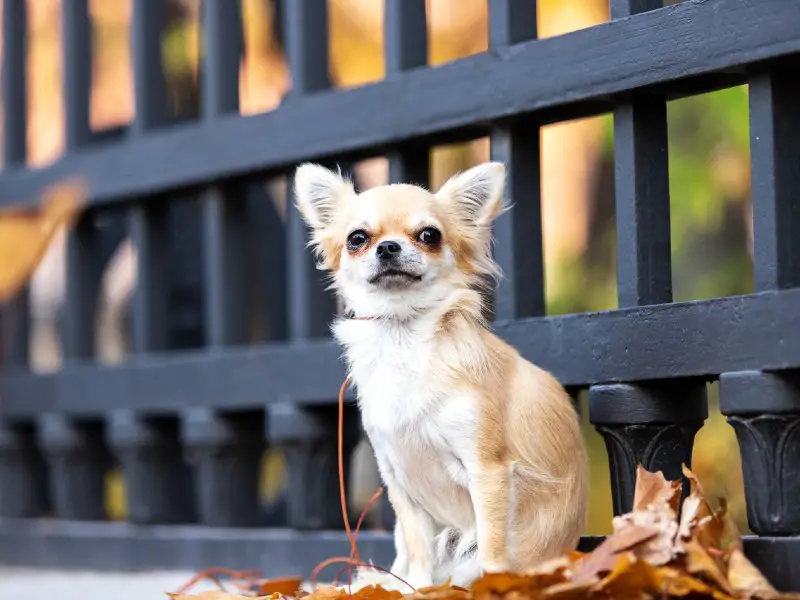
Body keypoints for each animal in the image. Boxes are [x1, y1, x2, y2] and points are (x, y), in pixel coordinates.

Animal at [292, 162, 588, 592]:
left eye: (429, 235)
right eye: (357, 239)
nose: (388, 247)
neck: (402, 337)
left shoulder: (488, 470)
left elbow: (493, 546)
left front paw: (494, 586)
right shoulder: (399, 480)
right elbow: (418, 546)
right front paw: (416, 588)